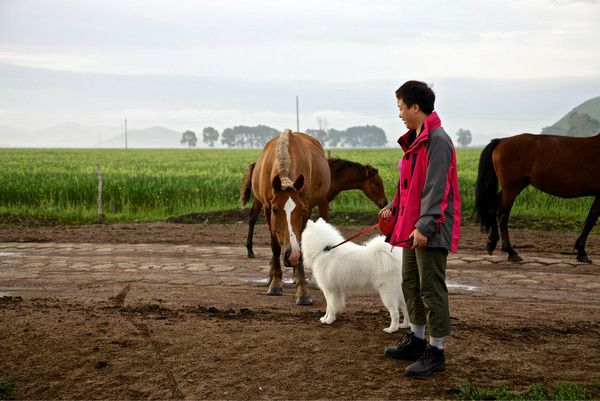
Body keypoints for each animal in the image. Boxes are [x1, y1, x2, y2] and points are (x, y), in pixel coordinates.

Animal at [239, 155, 390, 256]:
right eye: (377, 183)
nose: (384, 203)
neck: (332, 175)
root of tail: (256, 164)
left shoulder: (308, 205)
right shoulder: (323, 202)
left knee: (252, 219)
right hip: (260, 200)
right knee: (252, 219)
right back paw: (250, 250)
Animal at [251, 129, 330, 304]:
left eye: (300, 210)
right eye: (275, 210)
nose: (292, 255)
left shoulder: (306, 208)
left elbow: (300, 242)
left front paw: (303, 292)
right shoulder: (267, 208)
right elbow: (275, 246)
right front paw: (275, 284)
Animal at [474, 131, 600, 262]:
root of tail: (502, 141)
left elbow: (591, 219)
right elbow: (591, 220)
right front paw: (582, 252)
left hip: (514, 187)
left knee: (492, 208)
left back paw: (491, 243)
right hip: (510, 188)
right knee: (503, 216)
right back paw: (511, 251)